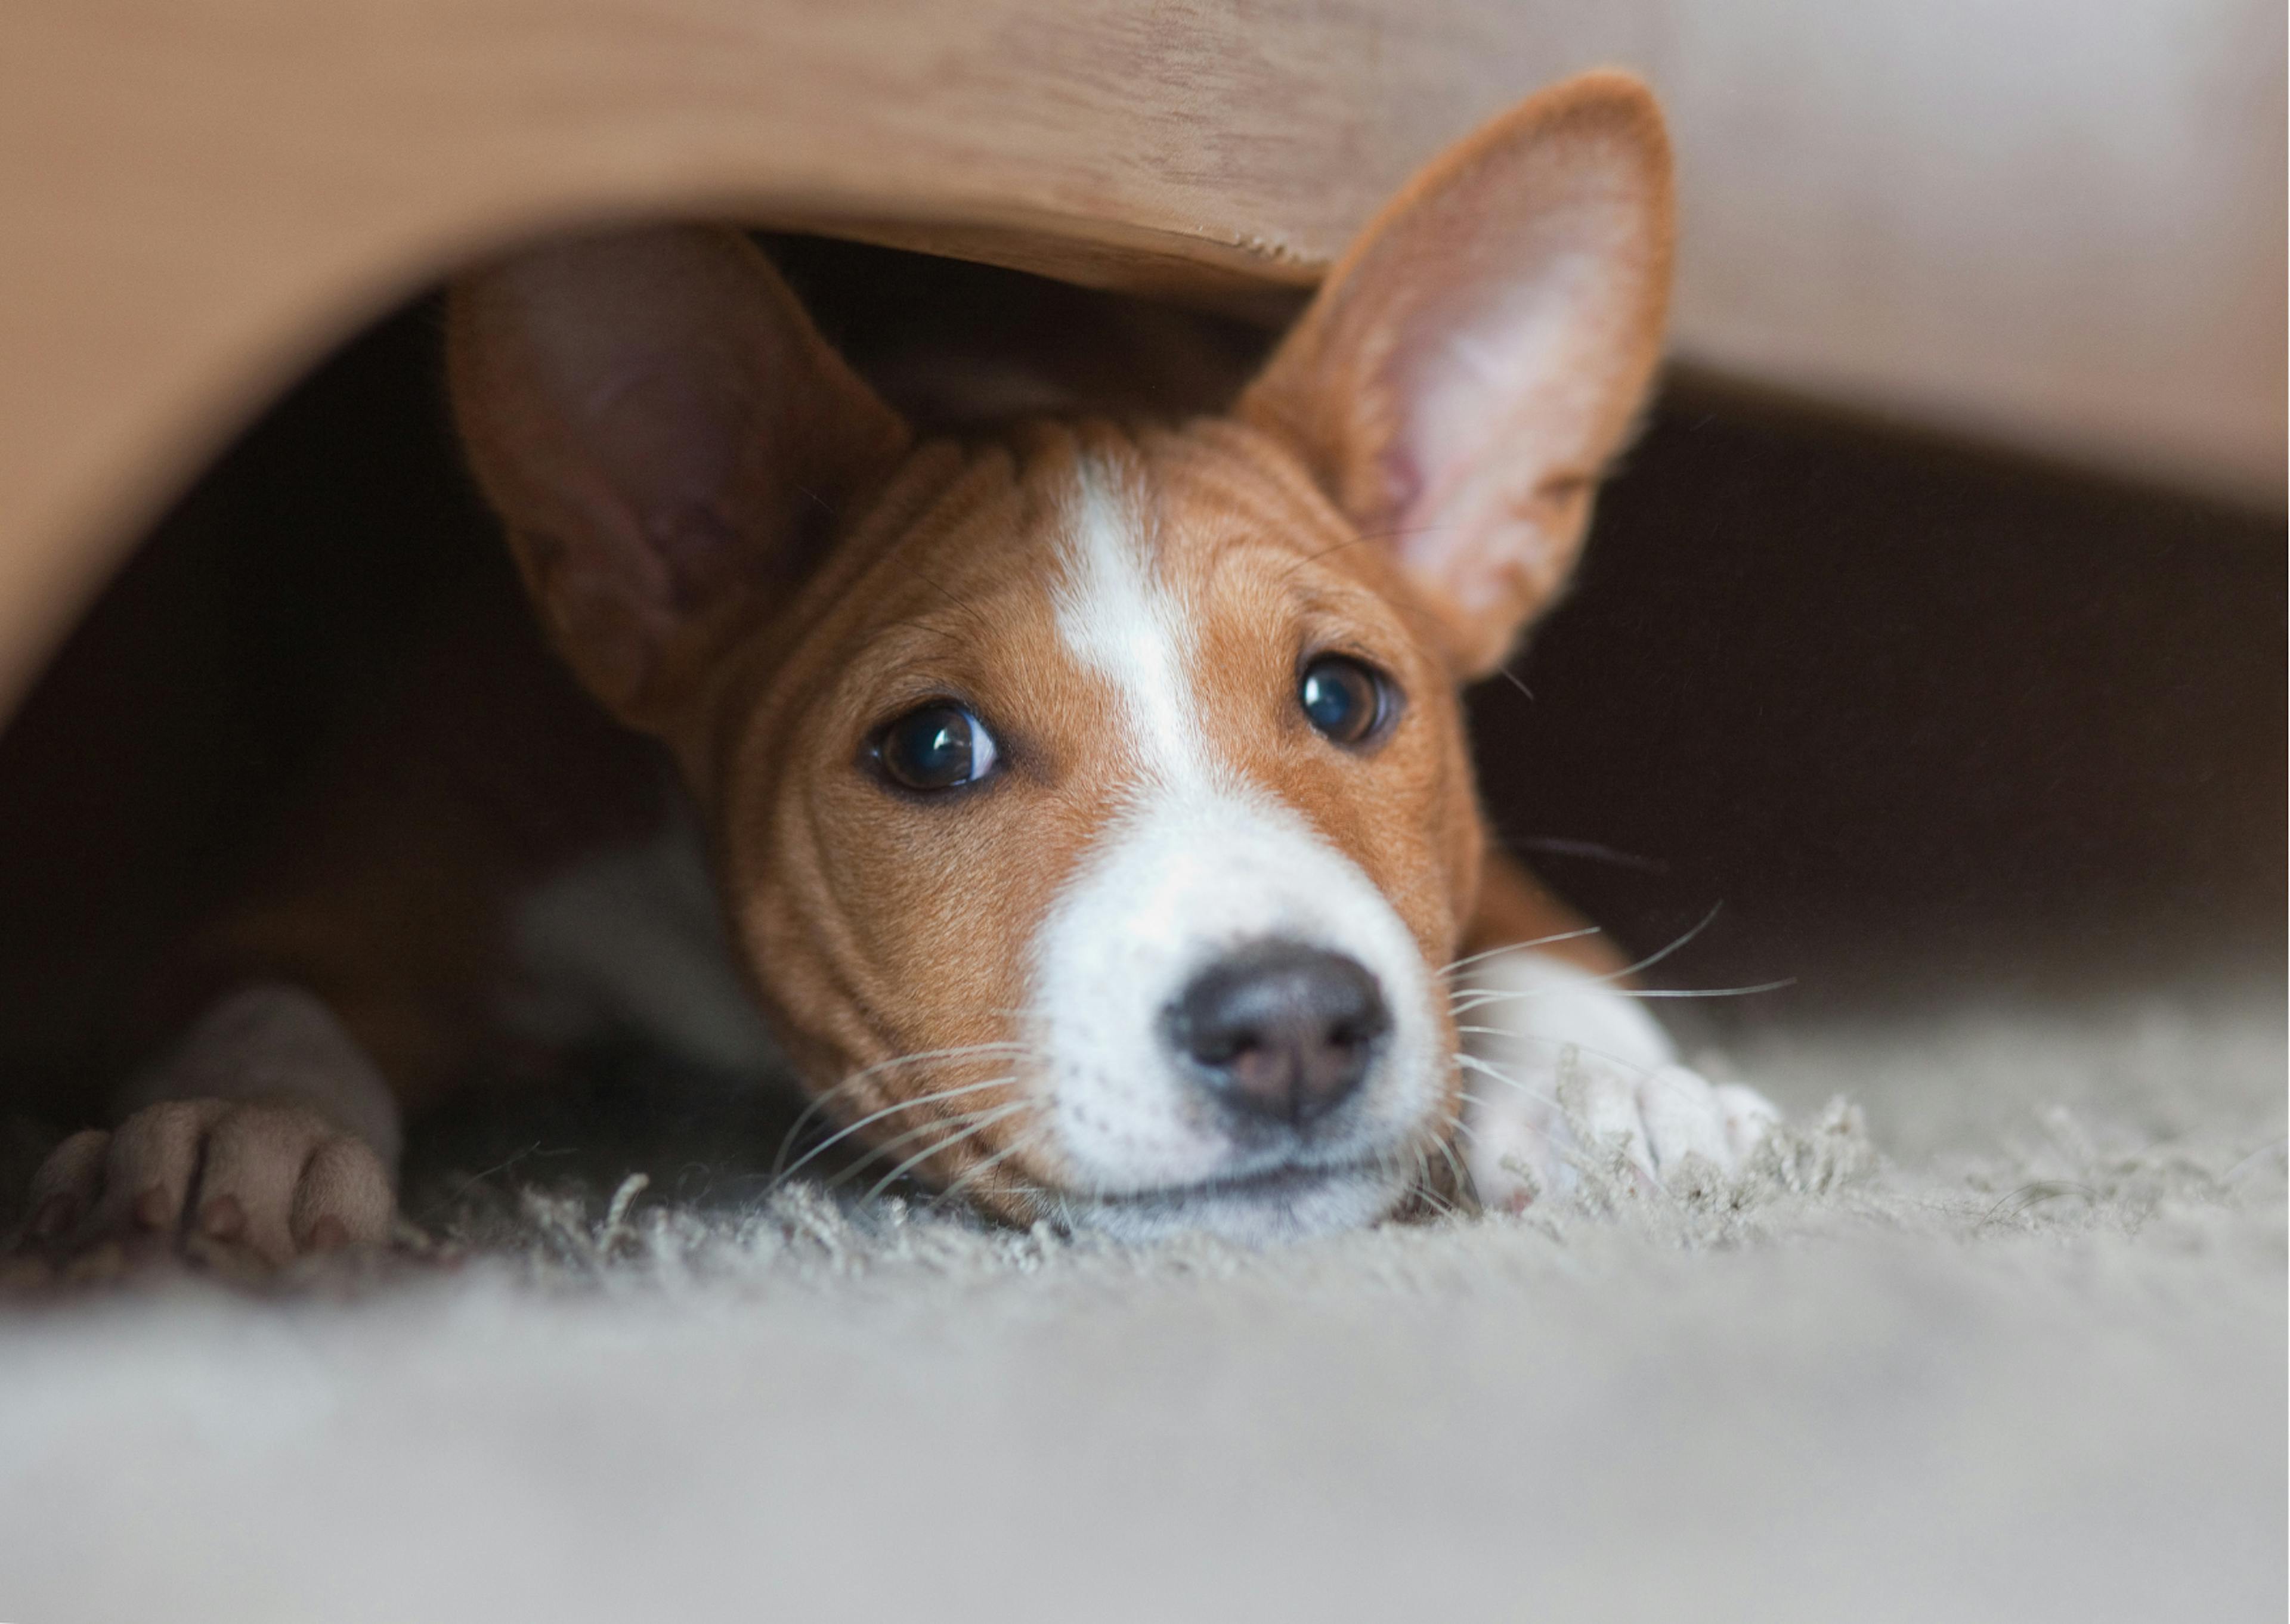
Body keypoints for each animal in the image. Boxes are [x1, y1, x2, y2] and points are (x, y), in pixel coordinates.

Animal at [13, 69, 1768, 1264]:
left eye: (1345, 697)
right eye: (931, 748)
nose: (1290, 1022)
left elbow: (1531, 940)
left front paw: (1614, 1088)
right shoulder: (337, 871)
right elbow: (264, 1005)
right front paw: (237, 1139)